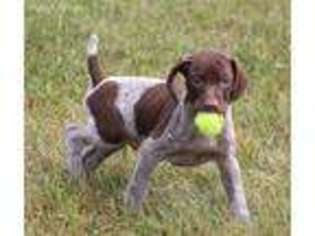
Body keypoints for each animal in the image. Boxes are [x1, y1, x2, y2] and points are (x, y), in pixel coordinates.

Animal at [65, 35, 252, 221]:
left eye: (225, 81)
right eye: (197, 80)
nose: (210, 106)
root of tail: (103, 81)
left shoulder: (227, 159)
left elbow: (237, 193)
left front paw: (242, 221)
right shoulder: (150, 150)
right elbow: (138, 186)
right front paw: (131, 212)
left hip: (110, 141)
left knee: (88, 158)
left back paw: (81, 181)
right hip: (106, 131)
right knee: (71, 132)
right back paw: (73, 171)